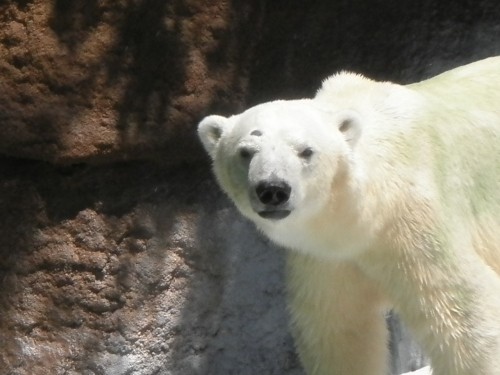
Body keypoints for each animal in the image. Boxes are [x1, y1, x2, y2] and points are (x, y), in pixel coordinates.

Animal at [197, 56, 500, 375]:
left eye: (306, 151)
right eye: (245, 151)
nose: (273, 189)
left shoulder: (416, 223)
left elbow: (465, 313)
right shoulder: (327, 257)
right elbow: (338, 331)